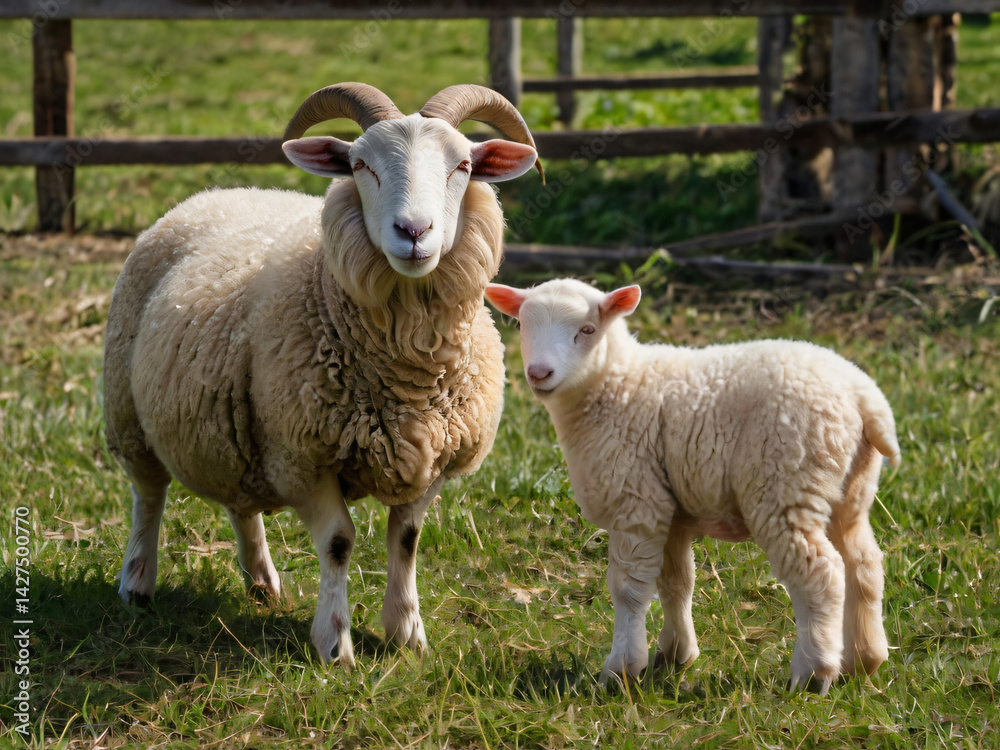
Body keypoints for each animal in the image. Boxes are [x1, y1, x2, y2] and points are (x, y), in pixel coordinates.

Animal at [104, 83, 542, 667]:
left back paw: (263, 583)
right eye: (359, 165)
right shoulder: (302, 459)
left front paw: (408, 634)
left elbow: (407, 540)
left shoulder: (434, 458)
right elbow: (338, 542)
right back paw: (137, 583)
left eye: (464, 166)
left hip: (239, 427)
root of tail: (217, 191)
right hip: (129, 412)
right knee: (148, 496)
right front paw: (335, 644)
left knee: (241, 504)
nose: (414, 232)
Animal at [484, 278, 900, 694]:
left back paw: (813, 673)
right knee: (863, 566)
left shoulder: (635, 499)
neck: (617, 383)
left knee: (820, 574)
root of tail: (862, 396)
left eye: (587, 330)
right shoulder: (668, 508)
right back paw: (864, 660)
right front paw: (675, 656)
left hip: (786, 485)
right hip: (848, 491)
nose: (539, 373)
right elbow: (676, 583)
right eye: (523, 326)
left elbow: (628, 590)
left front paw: (621, 669)